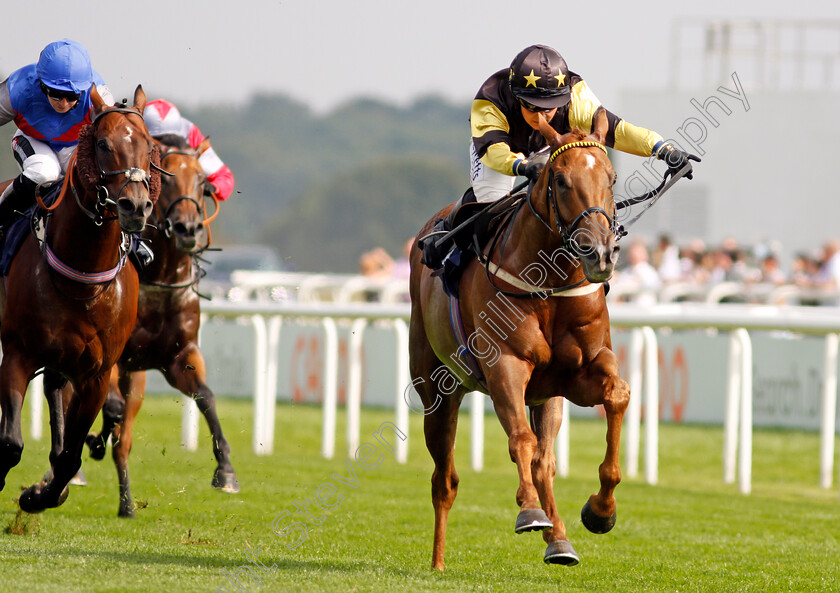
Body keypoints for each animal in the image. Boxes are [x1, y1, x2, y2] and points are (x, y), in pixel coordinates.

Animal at [0, 85, 160, 512]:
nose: (135, 206)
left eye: (150, 146)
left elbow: (71, 455)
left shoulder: (97, 375)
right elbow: (10, 443)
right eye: (103, 144)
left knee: (56, 393)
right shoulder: (17, 352)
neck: (81, 278)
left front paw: (40, 495)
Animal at [85, 135, 240, 520]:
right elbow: (108, 406)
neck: (160, 278)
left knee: (122, 437)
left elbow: (206, 397)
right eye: (167, 181)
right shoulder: (111, 356)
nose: (187, 229)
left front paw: (225, 471)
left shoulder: (178, 358)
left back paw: (126, 502)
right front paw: (93, 440)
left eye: (202, 181)